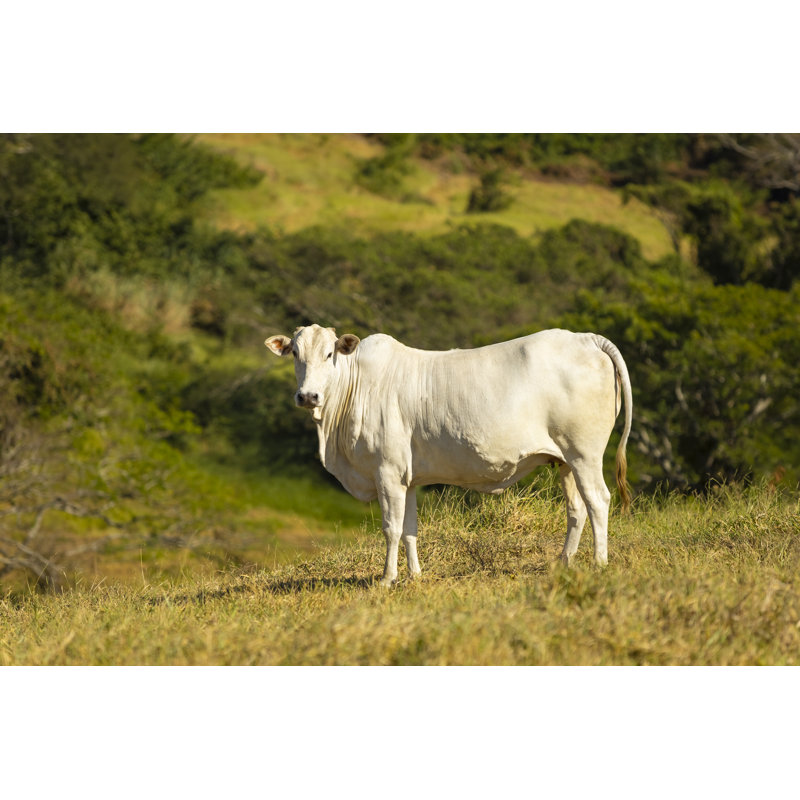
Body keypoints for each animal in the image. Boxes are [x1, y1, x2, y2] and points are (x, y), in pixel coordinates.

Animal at [265, 325, 632, 586]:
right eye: (295, 352)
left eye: (329, 353)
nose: (308, 396)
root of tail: (586, 338)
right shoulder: (407, 478)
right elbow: (410, 528)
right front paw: (414, 575)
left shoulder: (387, 473)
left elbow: (391, 528)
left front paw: (387, 579)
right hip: (565, 461)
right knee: (576, 510)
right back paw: (564, 562)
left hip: (585, 454)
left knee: (598, 501)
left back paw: (599, 564)